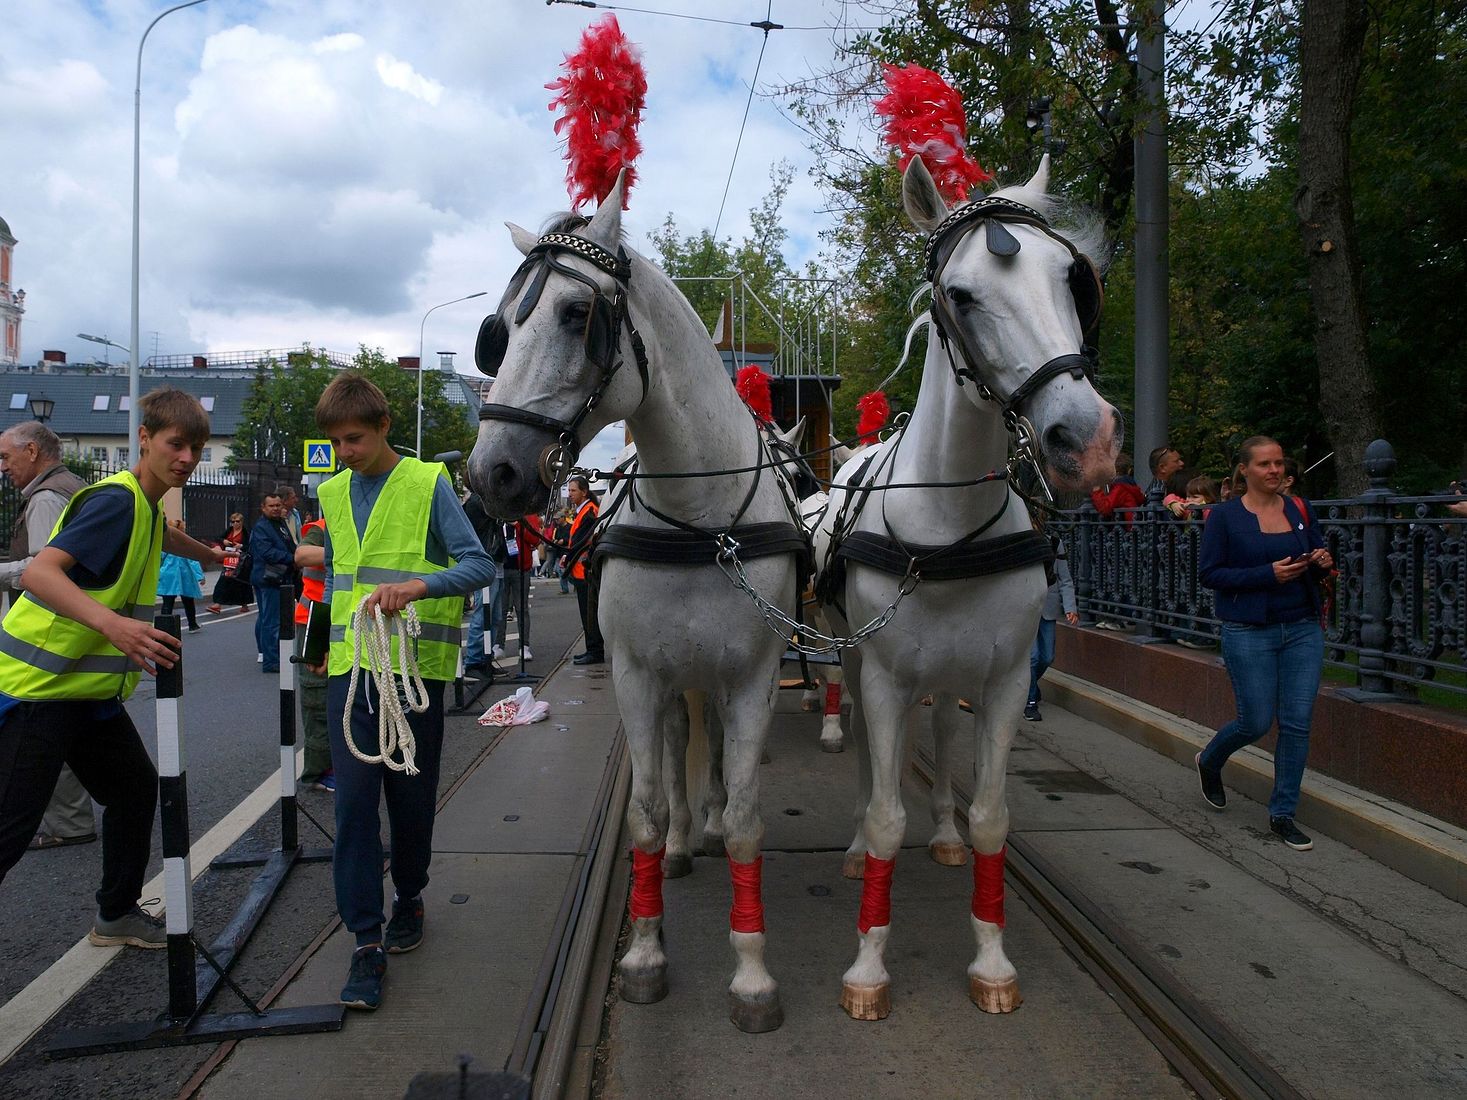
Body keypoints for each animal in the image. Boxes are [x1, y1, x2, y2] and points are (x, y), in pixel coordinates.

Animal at [469, 176, 803, 1038]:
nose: (490, 474)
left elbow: (747, 817)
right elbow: (646, 811)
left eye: (574, 315)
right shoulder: (636, 675)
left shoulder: (751, 676)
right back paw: (689, 838)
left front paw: (752, 974)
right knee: (685, 746)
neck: (699, 516)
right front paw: (647, 954)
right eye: (499, 331)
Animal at [815, 156, 1120, 1026]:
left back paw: (943, 833)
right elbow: (886, 813)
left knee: (945, 740)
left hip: (953, 675)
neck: (945, 523)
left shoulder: (1005, 678)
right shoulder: (884, 677)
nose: (1086, 439)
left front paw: (990, 958)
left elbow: (991, 816)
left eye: (1071, 280)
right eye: (961, 293)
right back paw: (854, 846)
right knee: (864, 758)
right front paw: (867, 967)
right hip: (859, 667)